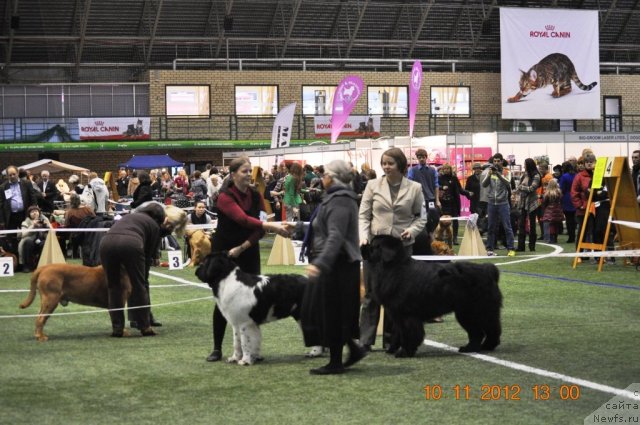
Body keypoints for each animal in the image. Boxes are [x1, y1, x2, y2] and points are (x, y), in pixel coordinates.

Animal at [362, 234, 502, 356]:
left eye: (372, 246)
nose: (363, 245)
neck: (392, 267)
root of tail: (488, 270)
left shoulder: (406, 315)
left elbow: (408, 334)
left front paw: (405, 352)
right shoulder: (396, 314)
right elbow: (398, 333)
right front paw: (392, 349)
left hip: (477, 311)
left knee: (490, 329)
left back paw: (484, 346)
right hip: (466, 313)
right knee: (479, 332)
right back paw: (471, 348)